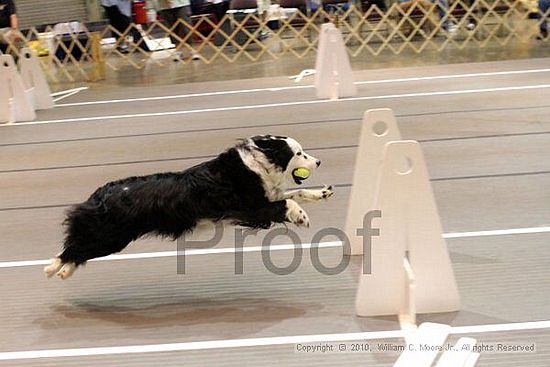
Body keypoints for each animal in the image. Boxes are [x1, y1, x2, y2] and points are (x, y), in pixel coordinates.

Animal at [43, 135, 334, 278]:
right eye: (299, 154)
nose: (319, 161)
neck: (258, 163)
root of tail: (101, 194)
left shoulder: (265, 198)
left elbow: (296, 192)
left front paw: (321, 193)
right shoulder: (251, 209)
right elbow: (286, 201)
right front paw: (301, 217)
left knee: (78, 247)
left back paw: (63, 270)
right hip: (111, 237)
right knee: (75, 247)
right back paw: (54, 267)